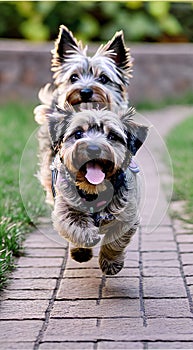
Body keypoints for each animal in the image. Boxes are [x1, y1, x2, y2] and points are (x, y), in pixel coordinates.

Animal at [46, 102, 149, 274]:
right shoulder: (65, 206)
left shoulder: (127, 216)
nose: (93, 149)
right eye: (78, 133)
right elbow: (75, 226)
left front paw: (110, 262)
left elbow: (115, 241)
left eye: (113, 136)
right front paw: (84, 244)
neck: (94, 190)